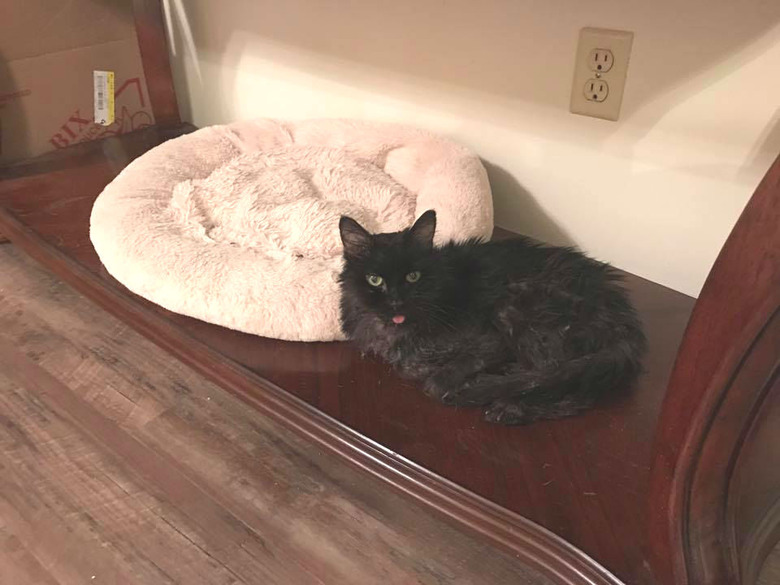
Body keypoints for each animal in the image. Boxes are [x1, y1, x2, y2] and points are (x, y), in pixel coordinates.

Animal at [336, 210, 644, 424]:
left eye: (413, 276)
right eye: (375, 280)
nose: (397, 302)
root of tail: (624, 316)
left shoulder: (490, 341)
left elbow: (433, 381)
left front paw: (454, 382)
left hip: (515, 305)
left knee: (565, 383)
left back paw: (509, 407)